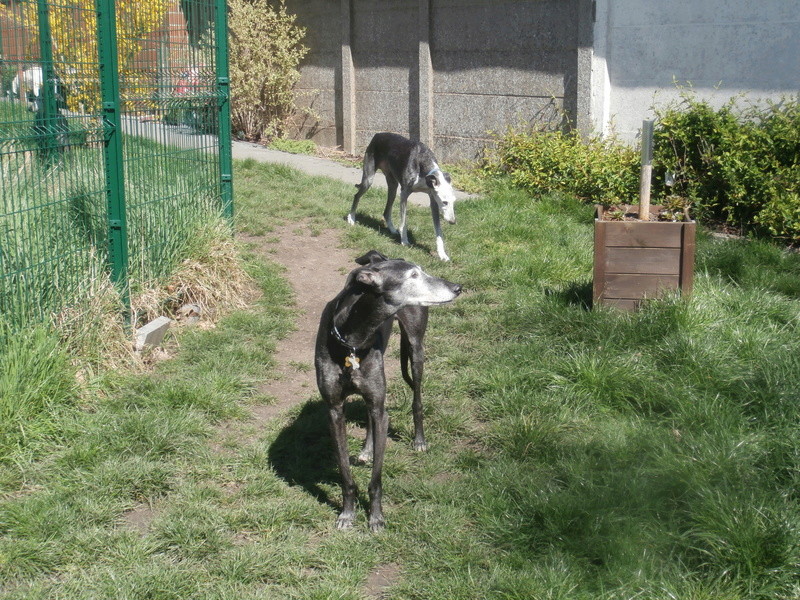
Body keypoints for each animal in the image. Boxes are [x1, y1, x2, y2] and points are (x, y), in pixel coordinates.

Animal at [314, 251, 462, 532]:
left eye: (421, 271)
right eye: (413, 275)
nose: (458, 288)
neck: (352, 341)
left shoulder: (379, 407)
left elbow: (376, 480)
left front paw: (375, 517)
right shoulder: (334, 411)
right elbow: (345, 474)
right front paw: (347, 514)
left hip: (416, 350)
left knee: (416, 400)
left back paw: (419, 440)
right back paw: (366, 450)